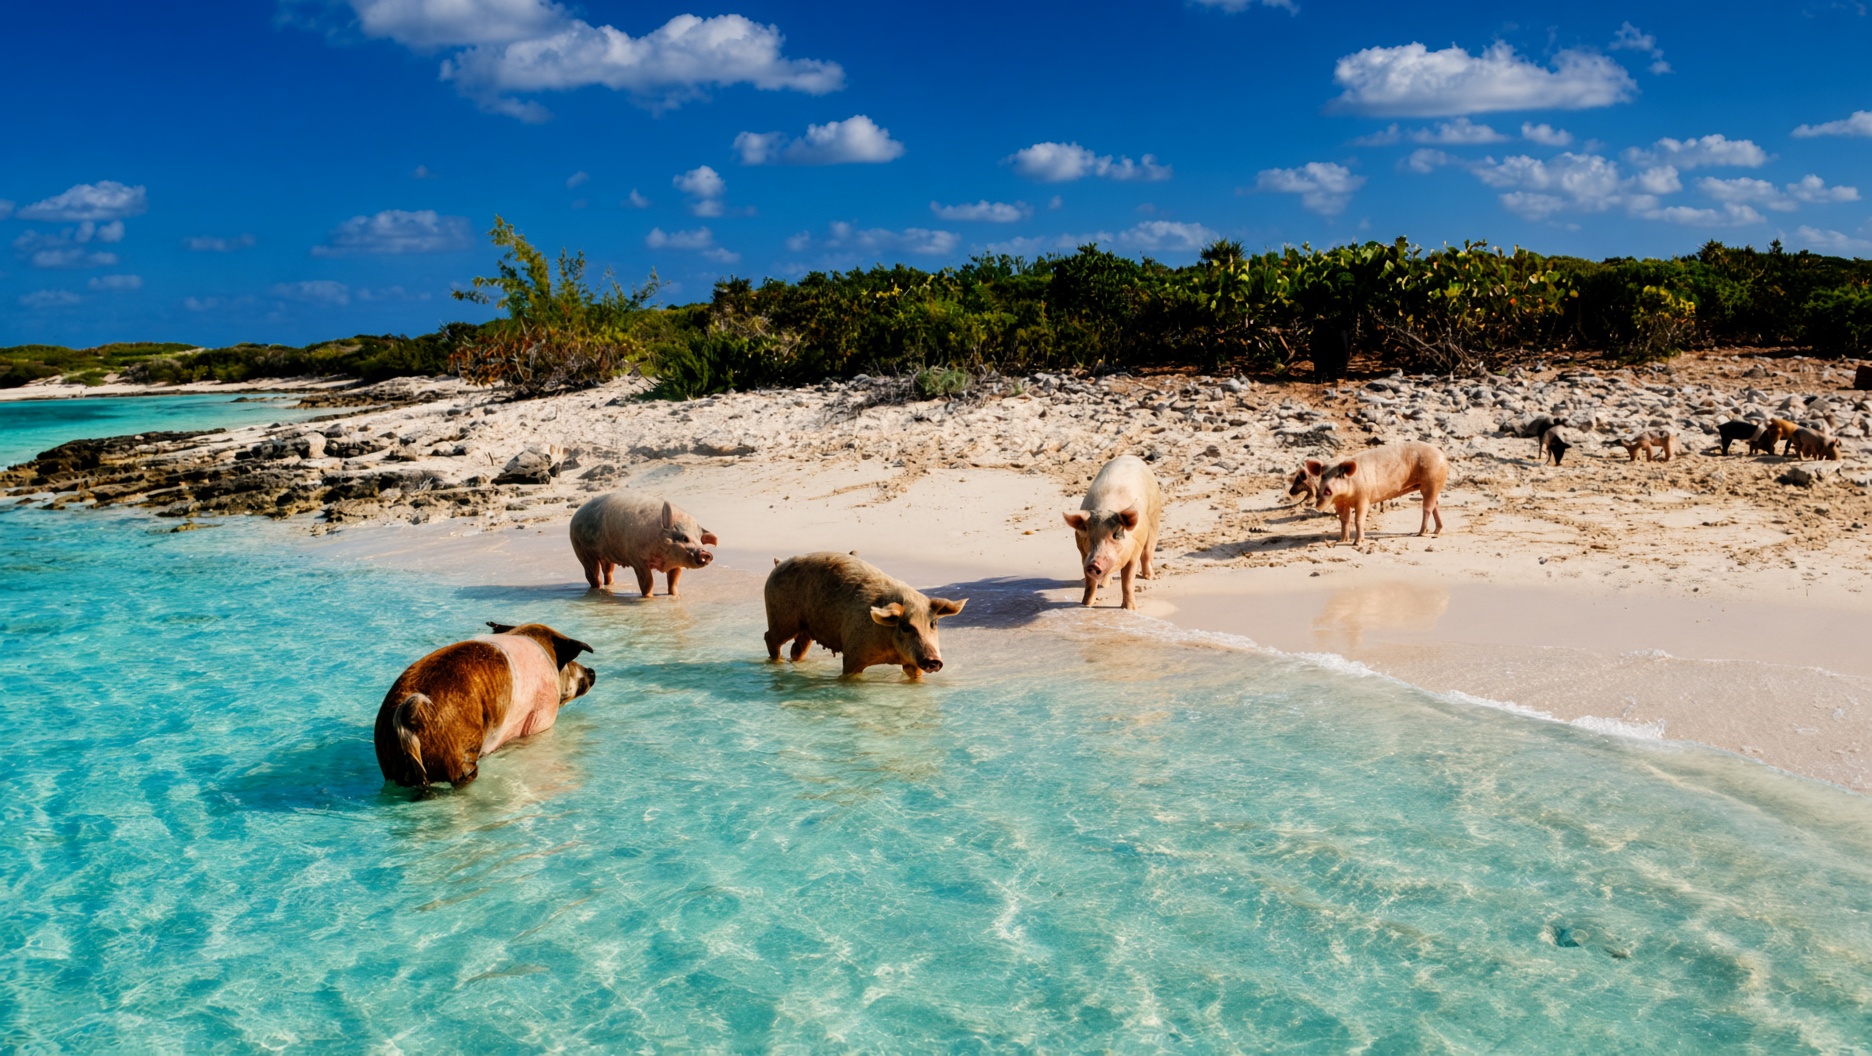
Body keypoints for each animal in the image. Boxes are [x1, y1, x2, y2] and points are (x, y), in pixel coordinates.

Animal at [569, 490, 718, 596]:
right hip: (581, 549)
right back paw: (597, 590)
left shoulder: (676, 564)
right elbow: (648, 582)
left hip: (606, 556)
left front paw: (676, 596)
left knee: (608, 571)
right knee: (592, 573)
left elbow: (673, 582)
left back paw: (610, 586)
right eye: (684, 538)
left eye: (699, 539)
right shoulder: (637, 560)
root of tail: (575, 514)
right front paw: (648, 598)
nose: (706, 553)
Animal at [763, 552, 967, 680]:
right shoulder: (852, 655)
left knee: (796, 649)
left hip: (806, 629)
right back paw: (777, 664)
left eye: (934, 623)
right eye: (905, 626)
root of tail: (778, 563)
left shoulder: (912, 663)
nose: (933, 660)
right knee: (770, 638)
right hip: (781, 617)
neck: (888, 649)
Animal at [1063, 454, 1164, 610]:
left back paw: (1150, 578)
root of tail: (1130, 456)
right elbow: (1090, 583)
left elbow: (1128, 580)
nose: (1094, 564)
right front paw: (1086, 605)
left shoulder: (1135, 549)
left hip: (1154, 514)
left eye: (1116, 535)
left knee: (1148, 551)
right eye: (1089, 537)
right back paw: (1106, 585)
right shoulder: (1084, 554)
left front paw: (1129, 609)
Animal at [1312, 441, 1448, 545]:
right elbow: (1344, 519)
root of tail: (1442, 455)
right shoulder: (1340, 502)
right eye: (1323, 476)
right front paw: (1341, 541)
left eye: (1339, 475)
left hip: (1431, 481)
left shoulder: (1364, 497)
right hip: (1430, 485)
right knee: (1435, 504)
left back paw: (1420, 533)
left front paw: (1357, 543)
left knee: (1427, 507)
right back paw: (1436, 531)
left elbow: (1359, 519)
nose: (1324, 491)